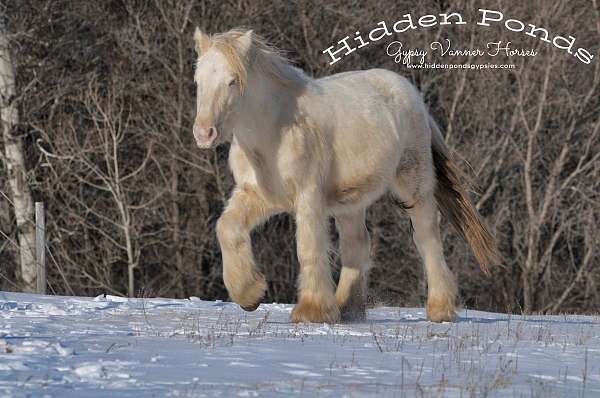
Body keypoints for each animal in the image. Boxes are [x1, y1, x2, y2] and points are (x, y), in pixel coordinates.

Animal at [192, 27, 496, 324]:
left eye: (232, 81)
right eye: (198, 81)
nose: (204, 133)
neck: (274, 131)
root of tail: (415, 97)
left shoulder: (308, 196)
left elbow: (309, 247)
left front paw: (312, 312)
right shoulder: (257, 194)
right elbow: (227, 228)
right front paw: (250, 295)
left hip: (414, 185)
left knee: (426, 238)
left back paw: (440, 309)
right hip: (350, 202)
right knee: (357, 245)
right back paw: (347, 309)